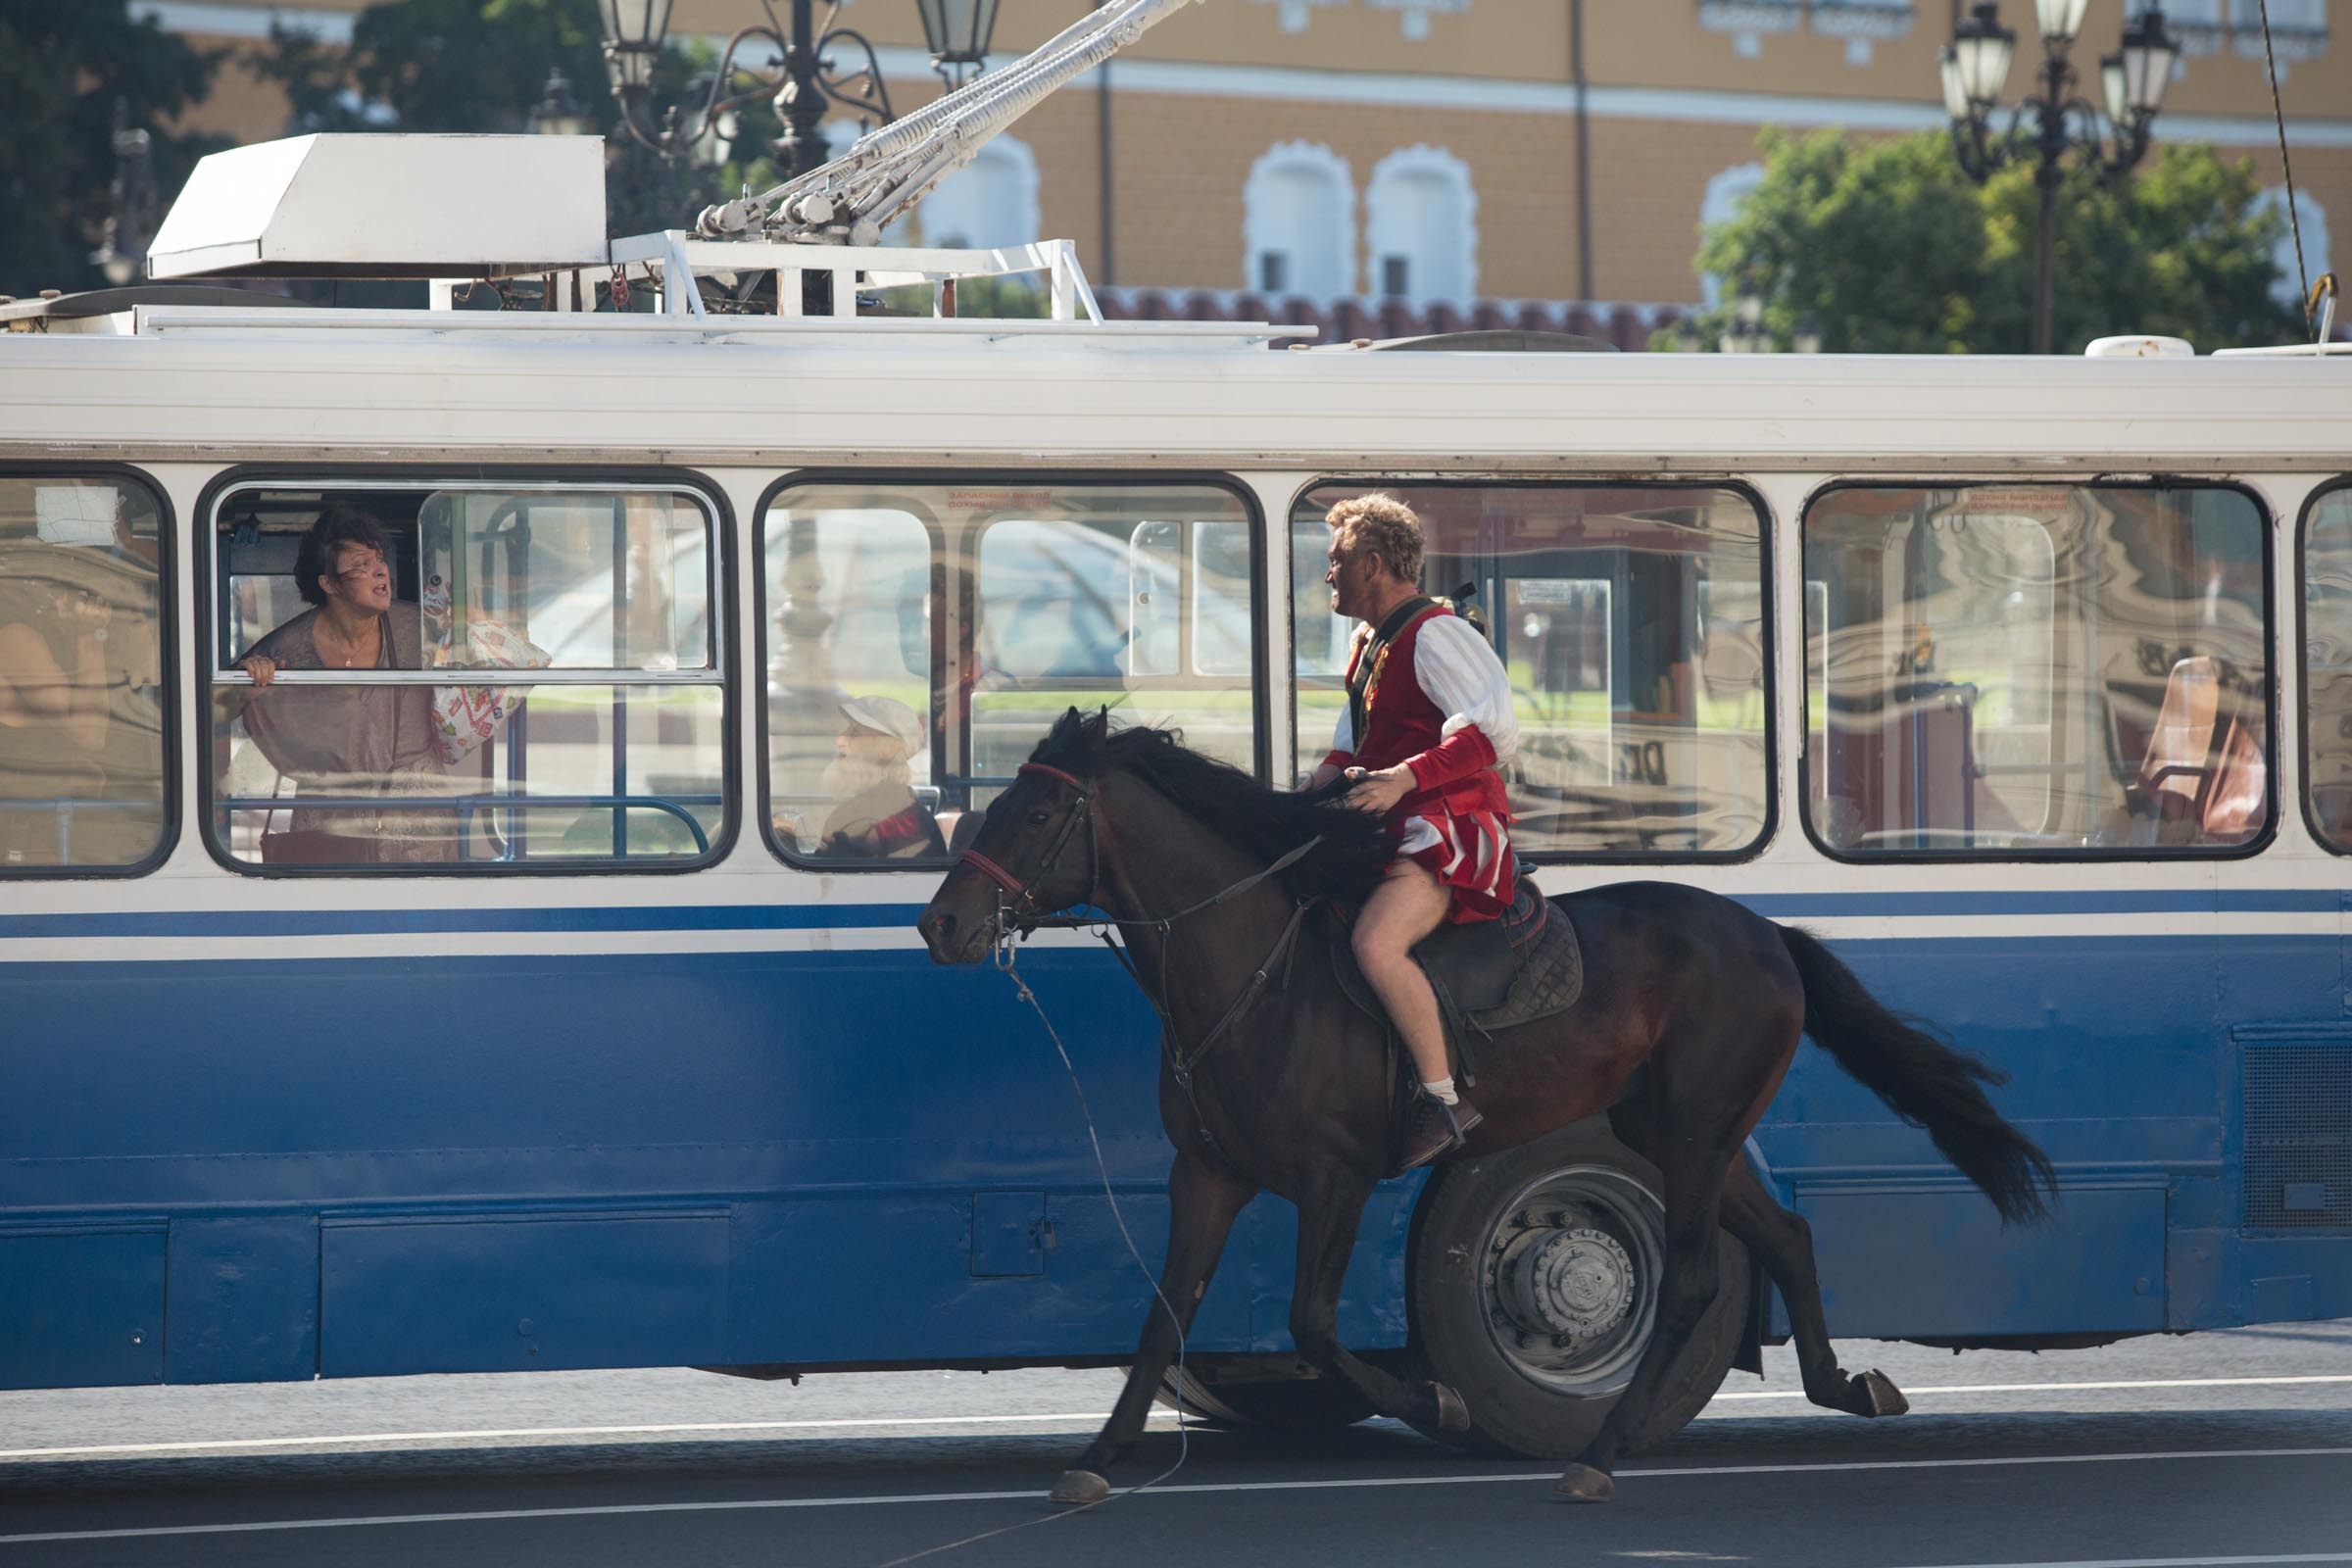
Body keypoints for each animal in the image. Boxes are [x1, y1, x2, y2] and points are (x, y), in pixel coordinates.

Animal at [907, 714, 2050, 1504]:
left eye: (1036, 814)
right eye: (990, 808)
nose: (941, 924)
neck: (1254, 970)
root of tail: (1768, 933)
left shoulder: (1335, 1180)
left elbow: (1312, 1322)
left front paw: (1437, 1399)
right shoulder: (1210, 1175)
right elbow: (1162, 1316)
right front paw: (1101, 1455)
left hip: (1691, 1135)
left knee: (1691, 1281)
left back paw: (1601, 1451)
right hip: (1687, 1132)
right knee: (1789, 1236)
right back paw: (1843, 1385)